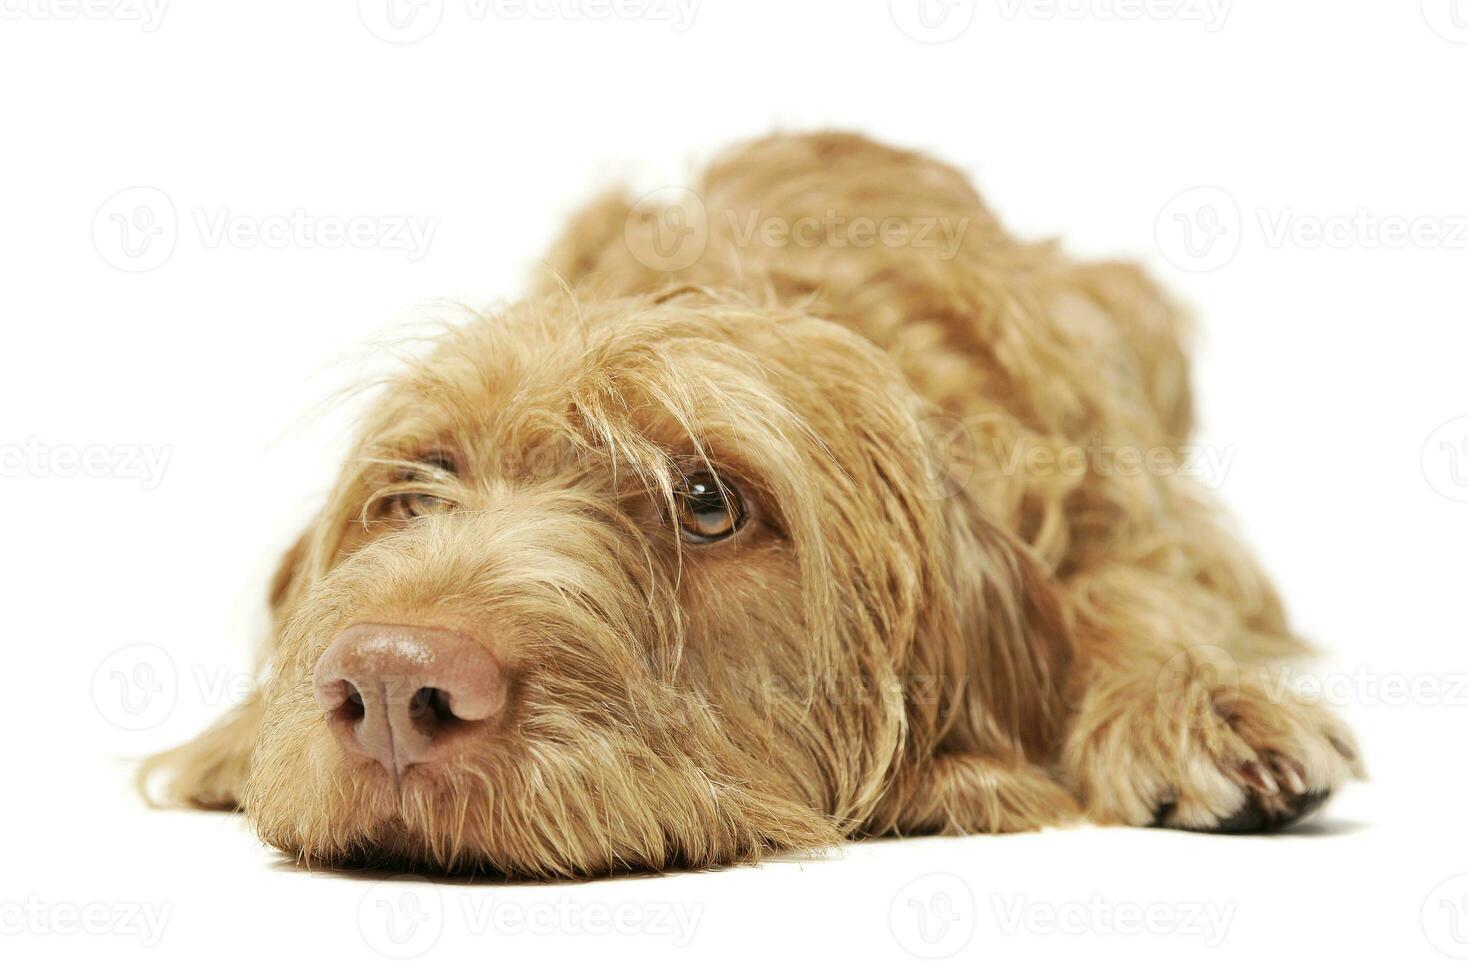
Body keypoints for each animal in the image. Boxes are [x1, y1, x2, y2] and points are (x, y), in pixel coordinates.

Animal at [140, 134, 1362, 874]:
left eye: (709, 501)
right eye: (412, 486)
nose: (394, 682)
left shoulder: (1139, 509)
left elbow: (1136, 586)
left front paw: (1199, 698)